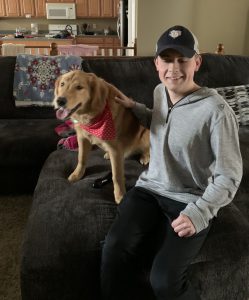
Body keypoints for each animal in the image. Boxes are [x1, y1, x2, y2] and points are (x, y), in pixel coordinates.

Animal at [53, 69, 149, 204]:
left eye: (79, 87)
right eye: (62, 84)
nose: (59, 101)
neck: (92, 115)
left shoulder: (115, 149)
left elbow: (116, 175)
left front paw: (120, 195)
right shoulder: (82, 138)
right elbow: (81, 159)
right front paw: (77, 174)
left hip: (145, 131)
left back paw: (145, 156)